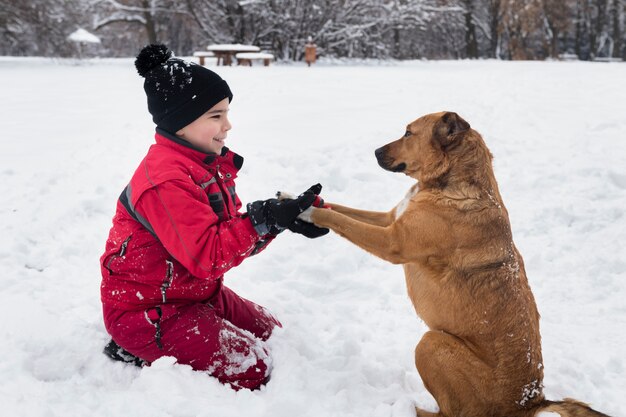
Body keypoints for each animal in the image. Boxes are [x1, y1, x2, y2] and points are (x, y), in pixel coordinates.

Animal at [300, 112, 608, 416]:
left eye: (408, 133)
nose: (375, 151)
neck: (452, 182)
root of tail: (531, 403)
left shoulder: (391, 242)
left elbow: (339, 219)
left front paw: (307, 212)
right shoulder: (390, 219)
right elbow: (342, 210)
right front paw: (296, 199)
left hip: (431, 344)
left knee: (449, 412)